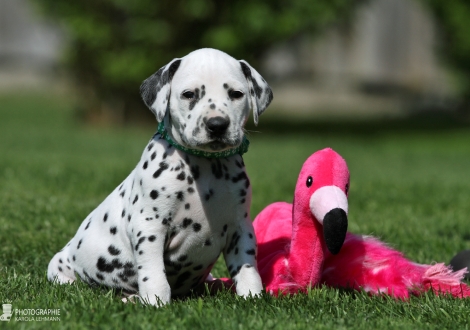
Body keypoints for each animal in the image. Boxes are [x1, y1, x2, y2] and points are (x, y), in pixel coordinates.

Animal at [47, 47, 272, 306]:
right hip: (59, 267)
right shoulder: (149, 226)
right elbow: (154, 273)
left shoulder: (240, 227)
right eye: (189, 94)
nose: (217, 124)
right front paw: (156, 302)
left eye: (236, 94)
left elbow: (247, 269)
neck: (205, 167)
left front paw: (252, 296)